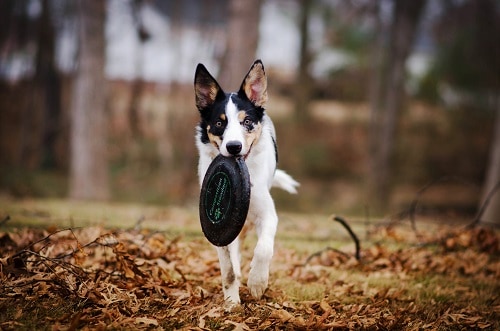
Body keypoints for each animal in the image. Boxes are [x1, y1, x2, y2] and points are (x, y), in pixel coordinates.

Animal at [194, 59, 296, 308]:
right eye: (219, 123)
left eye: (247, 122)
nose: (233, 147)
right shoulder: (219, 232)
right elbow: (228, 268)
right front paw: (232, 301)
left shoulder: (267, 214)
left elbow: (263, 249)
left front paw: (257, 282)